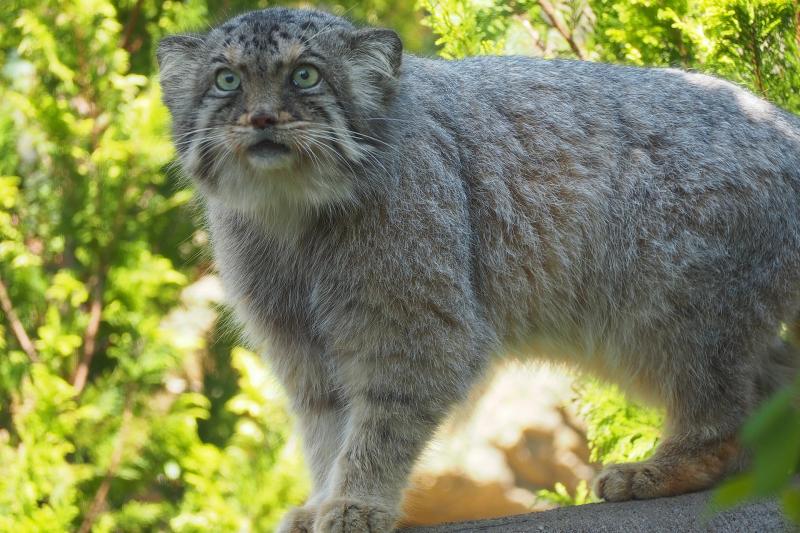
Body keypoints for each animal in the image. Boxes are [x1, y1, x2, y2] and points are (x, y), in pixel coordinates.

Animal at [159, 6, 800, 528]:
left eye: (305, 75)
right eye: (226, 80)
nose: (261, 118)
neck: (294, 217)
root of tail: (784, 123)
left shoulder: (419, 331)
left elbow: (379, 427)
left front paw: (356, 501)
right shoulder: (300, 346)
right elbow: (325, 432)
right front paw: (322, 500)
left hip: (679, 313)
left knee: (723, 422)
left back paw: (662, 469)